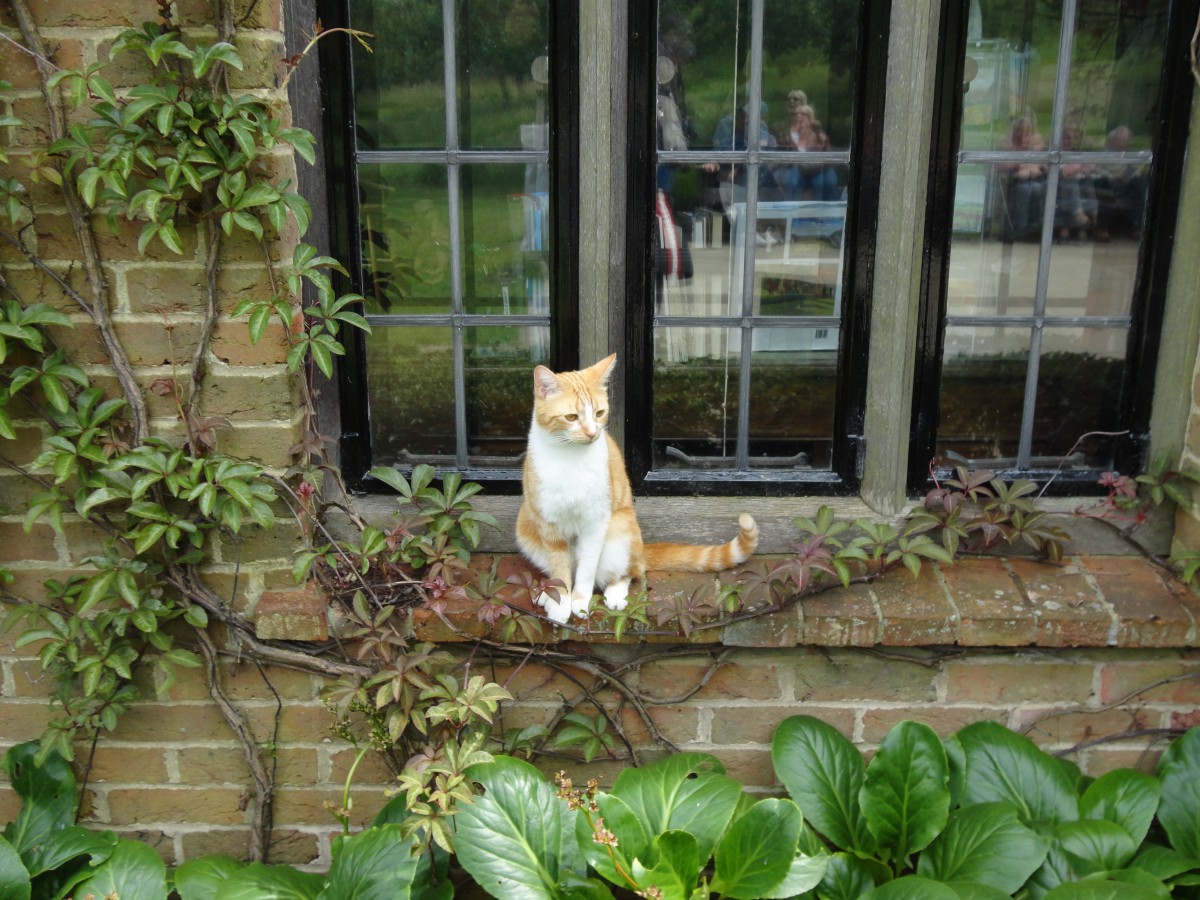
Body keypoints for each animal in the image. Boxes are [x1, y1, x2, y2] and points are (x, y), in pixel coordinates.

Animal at [516, 355, 758, 628]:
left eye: (599, 413)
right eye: (571, 417)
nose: (592, 433)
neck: (569, 458)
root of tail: (641, 548)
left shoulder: (596, 522)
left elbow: (587, 570)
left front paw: (579, 601)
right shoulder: (549, 525)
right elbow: (559, 571)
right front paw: (560, 602)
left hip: (619, 529)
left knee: (629, 572)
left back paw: (615, 594)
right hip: (526, 528)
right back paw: (547, 595)